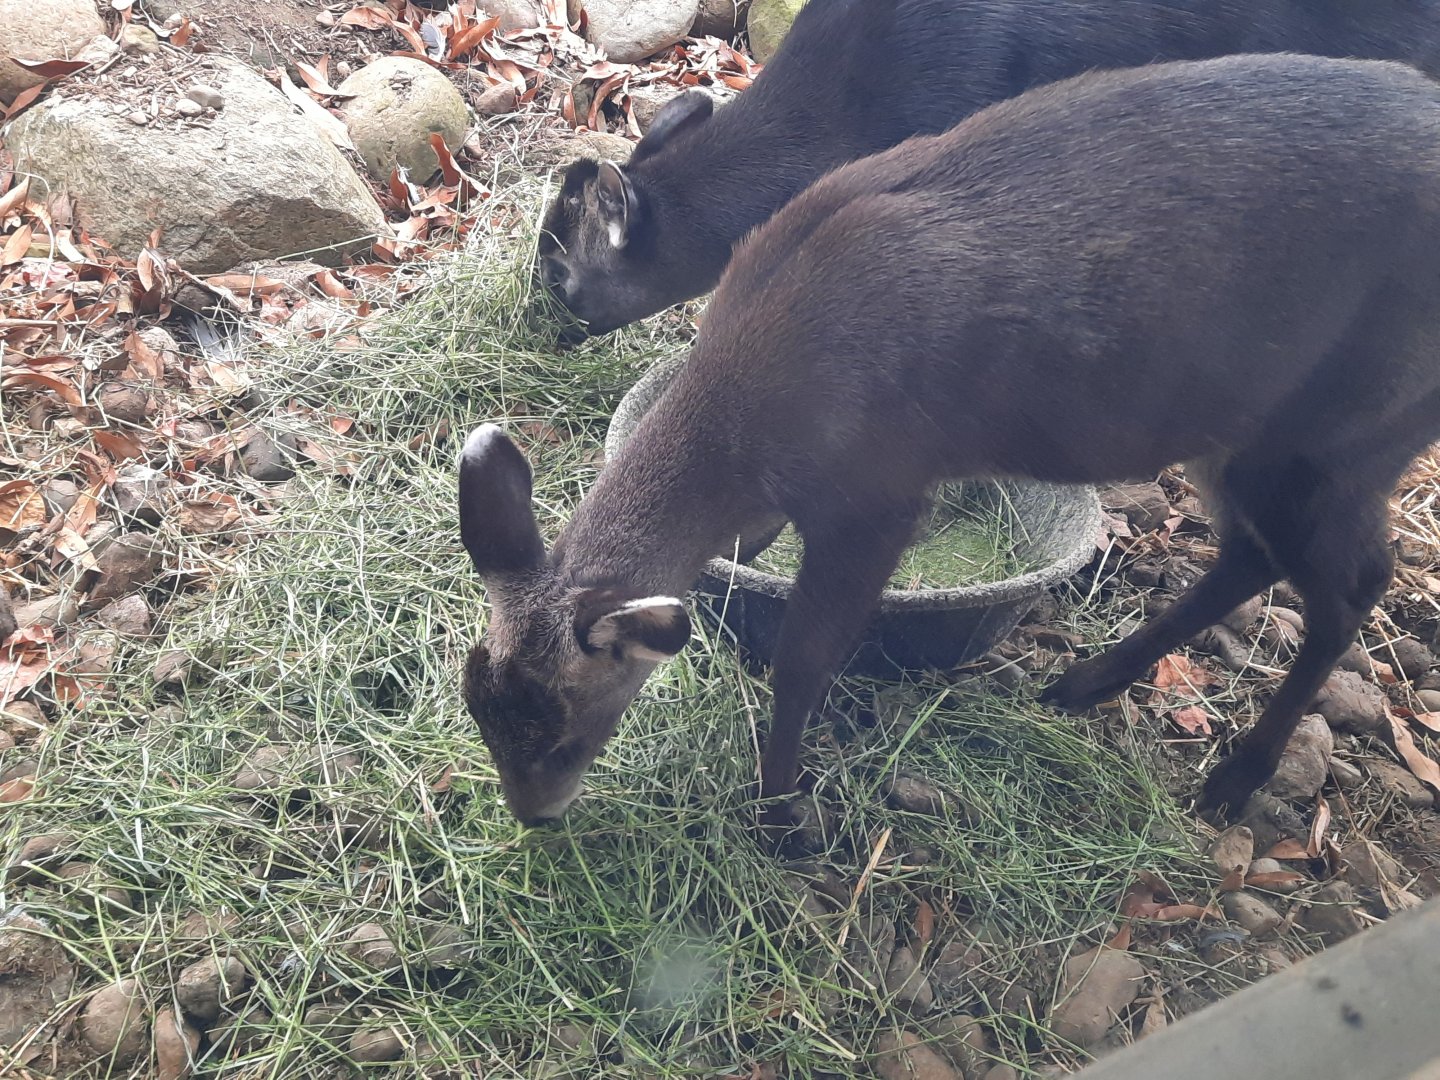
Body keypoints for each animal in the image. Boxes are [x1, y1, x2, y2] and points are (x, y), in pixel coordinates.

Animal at [463, 52, 1440, 830]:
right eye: (477, 706)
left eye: (564, 732)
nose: (535, 818)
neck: (757, 417)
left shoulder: (880, 489)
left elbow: (806, 659)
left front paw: (783, 814)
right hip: (1237, 427)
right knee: (1253, 554)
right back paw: (1083, 685)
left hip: (1351, 426)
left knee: (1355, 582)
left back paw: (1235, 778)